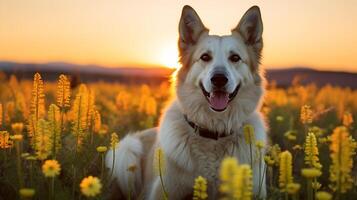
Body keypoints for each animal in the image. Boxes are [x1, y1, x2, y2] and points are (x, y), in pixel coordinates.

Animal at [104, 5, 266, 199]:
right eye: (205, 57)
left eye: (235, 58)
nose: (219, 79)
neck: (214, 133)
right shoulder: (162, 192)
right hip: (127, 151)